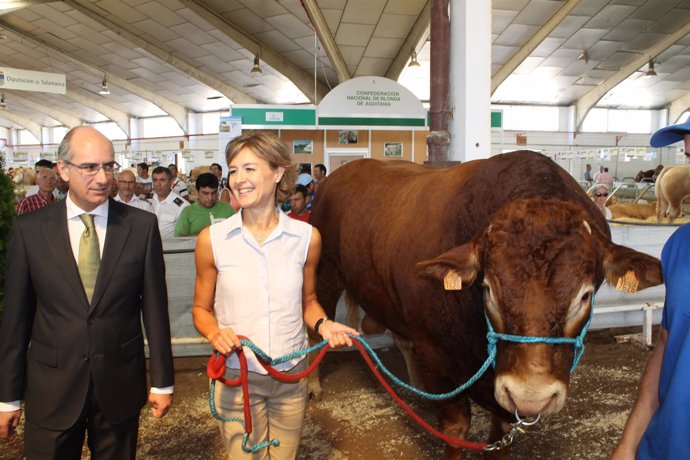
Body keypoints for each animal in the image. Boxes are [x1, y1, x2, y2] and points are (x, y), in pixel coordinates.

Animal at [308, 151, 660, 456]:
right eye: (488, 288)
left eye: (585, 295)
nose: (531, 395)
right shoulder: (436, 356)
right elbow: (455, 429)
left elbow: (501, 433)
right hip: (324, 272)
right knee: (315, 327)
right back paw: (312, 385)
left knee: (401, 337)